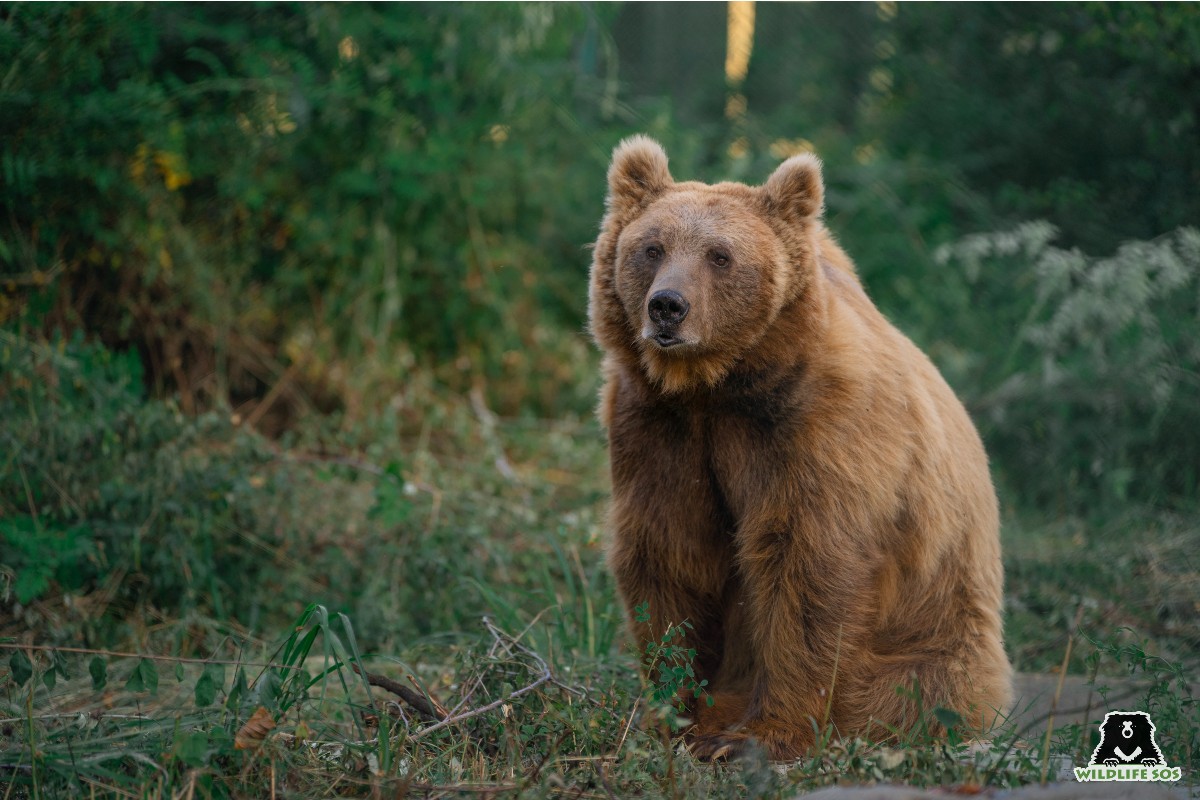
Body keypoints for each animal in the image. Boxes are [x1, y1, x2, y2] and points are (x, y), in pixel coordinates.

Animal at [590, 137, 1012, 762]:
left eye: (720, 255)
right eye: (652, 247)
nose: (667, 306)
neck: (716, 385)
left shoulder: (816, 428)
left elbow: (807, 566)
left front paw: (764, 733)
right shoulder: (657, 430)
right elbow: (669, 551)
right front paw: (672, 711)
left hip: (933, 639)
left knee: (915, 692)